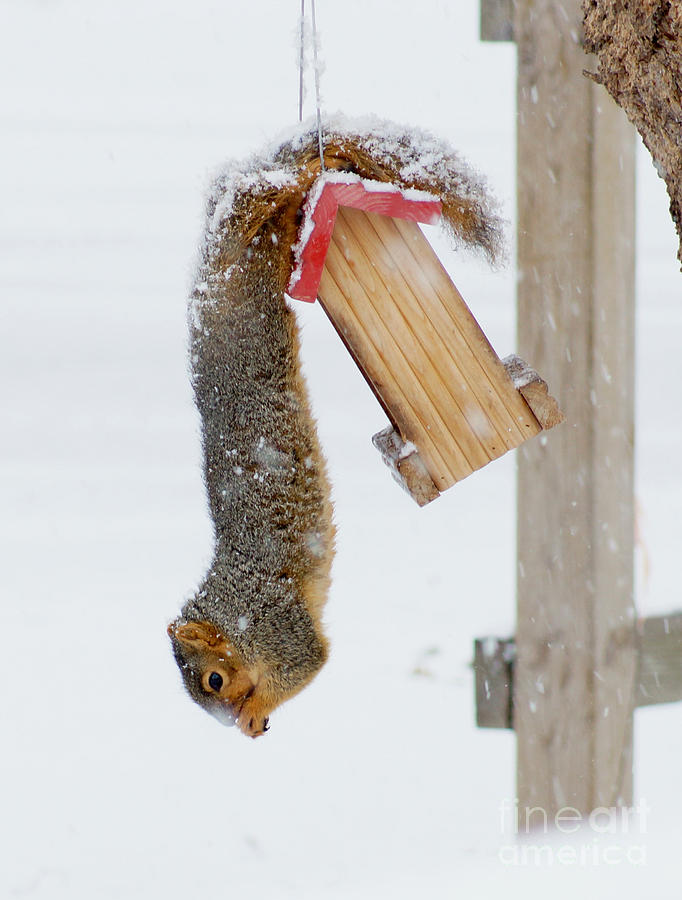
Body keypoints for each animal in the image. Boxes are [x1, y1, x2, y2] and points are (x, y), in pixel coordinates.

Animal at [167, 121, 502, 740]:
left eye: (213, 681)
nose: (226, 723)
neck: (235, 599)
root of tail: (210, 290)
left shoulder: (276, 622)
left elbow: (307, 661)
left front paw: (255, 711)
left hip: (253, 277)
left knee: (268, 216)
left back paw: (294, 191)